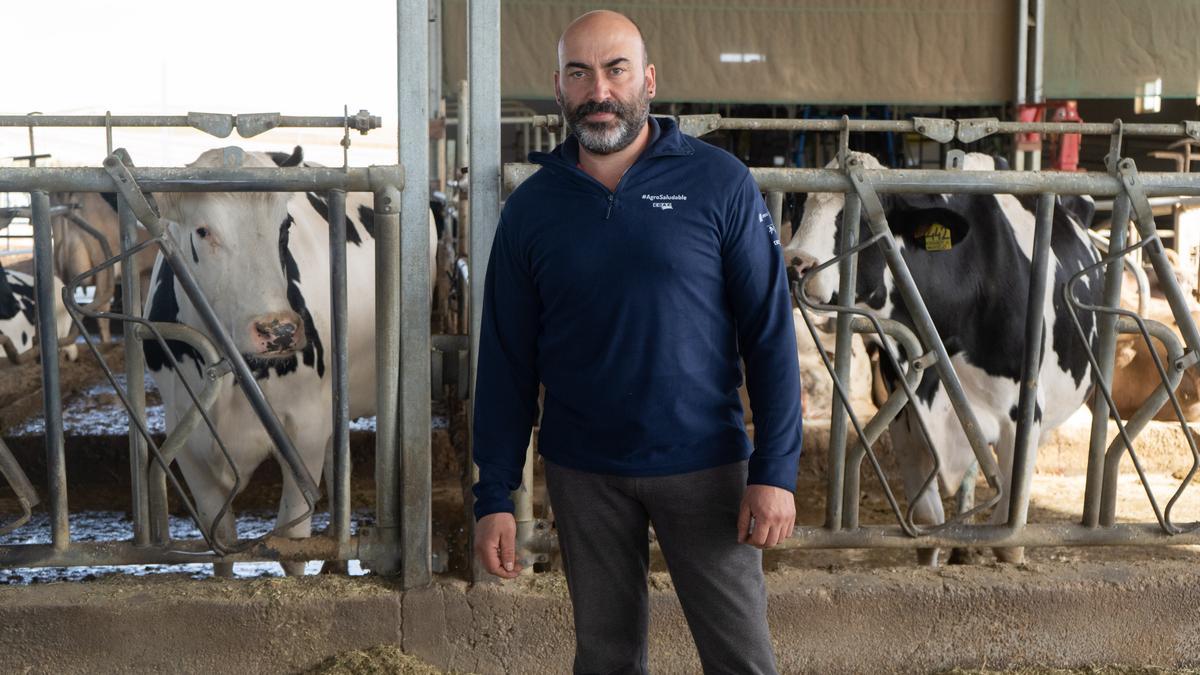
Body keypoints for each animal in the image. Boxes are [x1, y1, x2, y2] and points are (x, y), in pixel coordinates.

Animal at [144, 145, 436, 571]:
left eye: (284, 227)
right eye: (202, 230)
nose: (278, 331)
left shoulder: (305, 430)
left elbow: (292, 544)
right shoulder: (189, 441)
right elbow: (221, 546)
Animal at [787, 153, 1104, 562]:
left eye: (862, 219)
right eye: (799, 206)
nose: (795, 262)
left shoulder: (1023, 415)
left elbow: (1008, 529)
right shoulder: (908, 416)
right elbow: (926, 522)